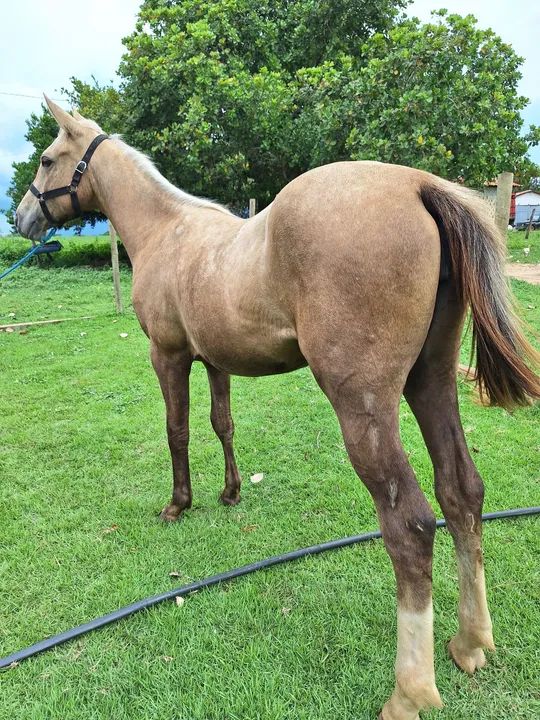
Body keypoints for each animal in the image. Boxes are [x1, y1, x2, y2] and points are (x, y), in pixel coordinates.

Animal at [15, 97, 540, 720]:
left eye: (47, 159)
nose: (21, 219)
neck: (168, 231)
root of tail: (418, 185)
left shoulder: (168, 357)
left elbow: (177, 430)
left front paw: (179, 504)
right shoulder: (213, 361)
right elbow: (221, 424)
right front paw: (230, 492)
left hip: (365, 410)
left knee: (410, 525)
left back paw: (408, 692)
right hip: (430, 382)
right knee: (461, 492)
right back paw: (470, 642)